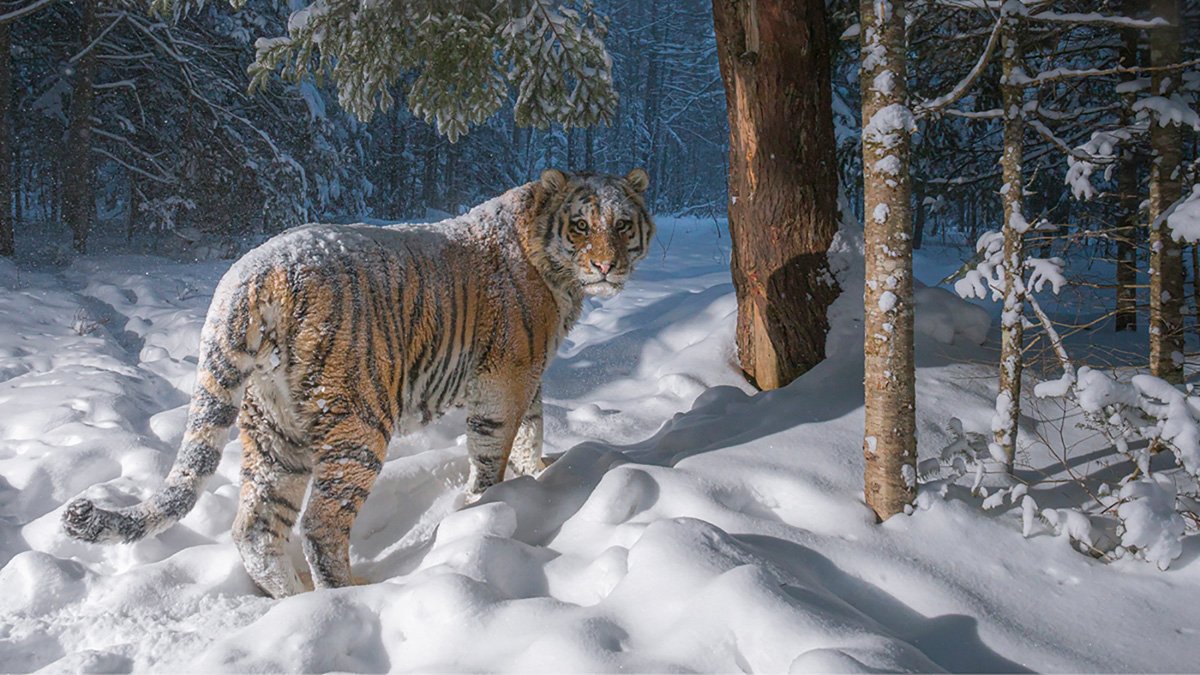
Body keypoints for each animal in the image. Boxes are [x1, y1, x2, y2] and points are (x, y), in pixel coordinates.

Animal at [63, 166, 657, 593]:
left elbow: (533, 427)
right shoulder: (505, 378)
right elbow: (494, 449)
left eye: (622, 225)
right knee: (320, 526)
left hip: (274, 429)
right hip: (358, 422)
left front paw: (538, 472)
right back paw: (348, 596)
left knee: (256, 528)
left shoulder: (529, 377)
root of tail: (250, 275)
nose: (605, 266)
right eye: (580, 226)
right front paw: (489, 504)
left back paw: (294, 601)